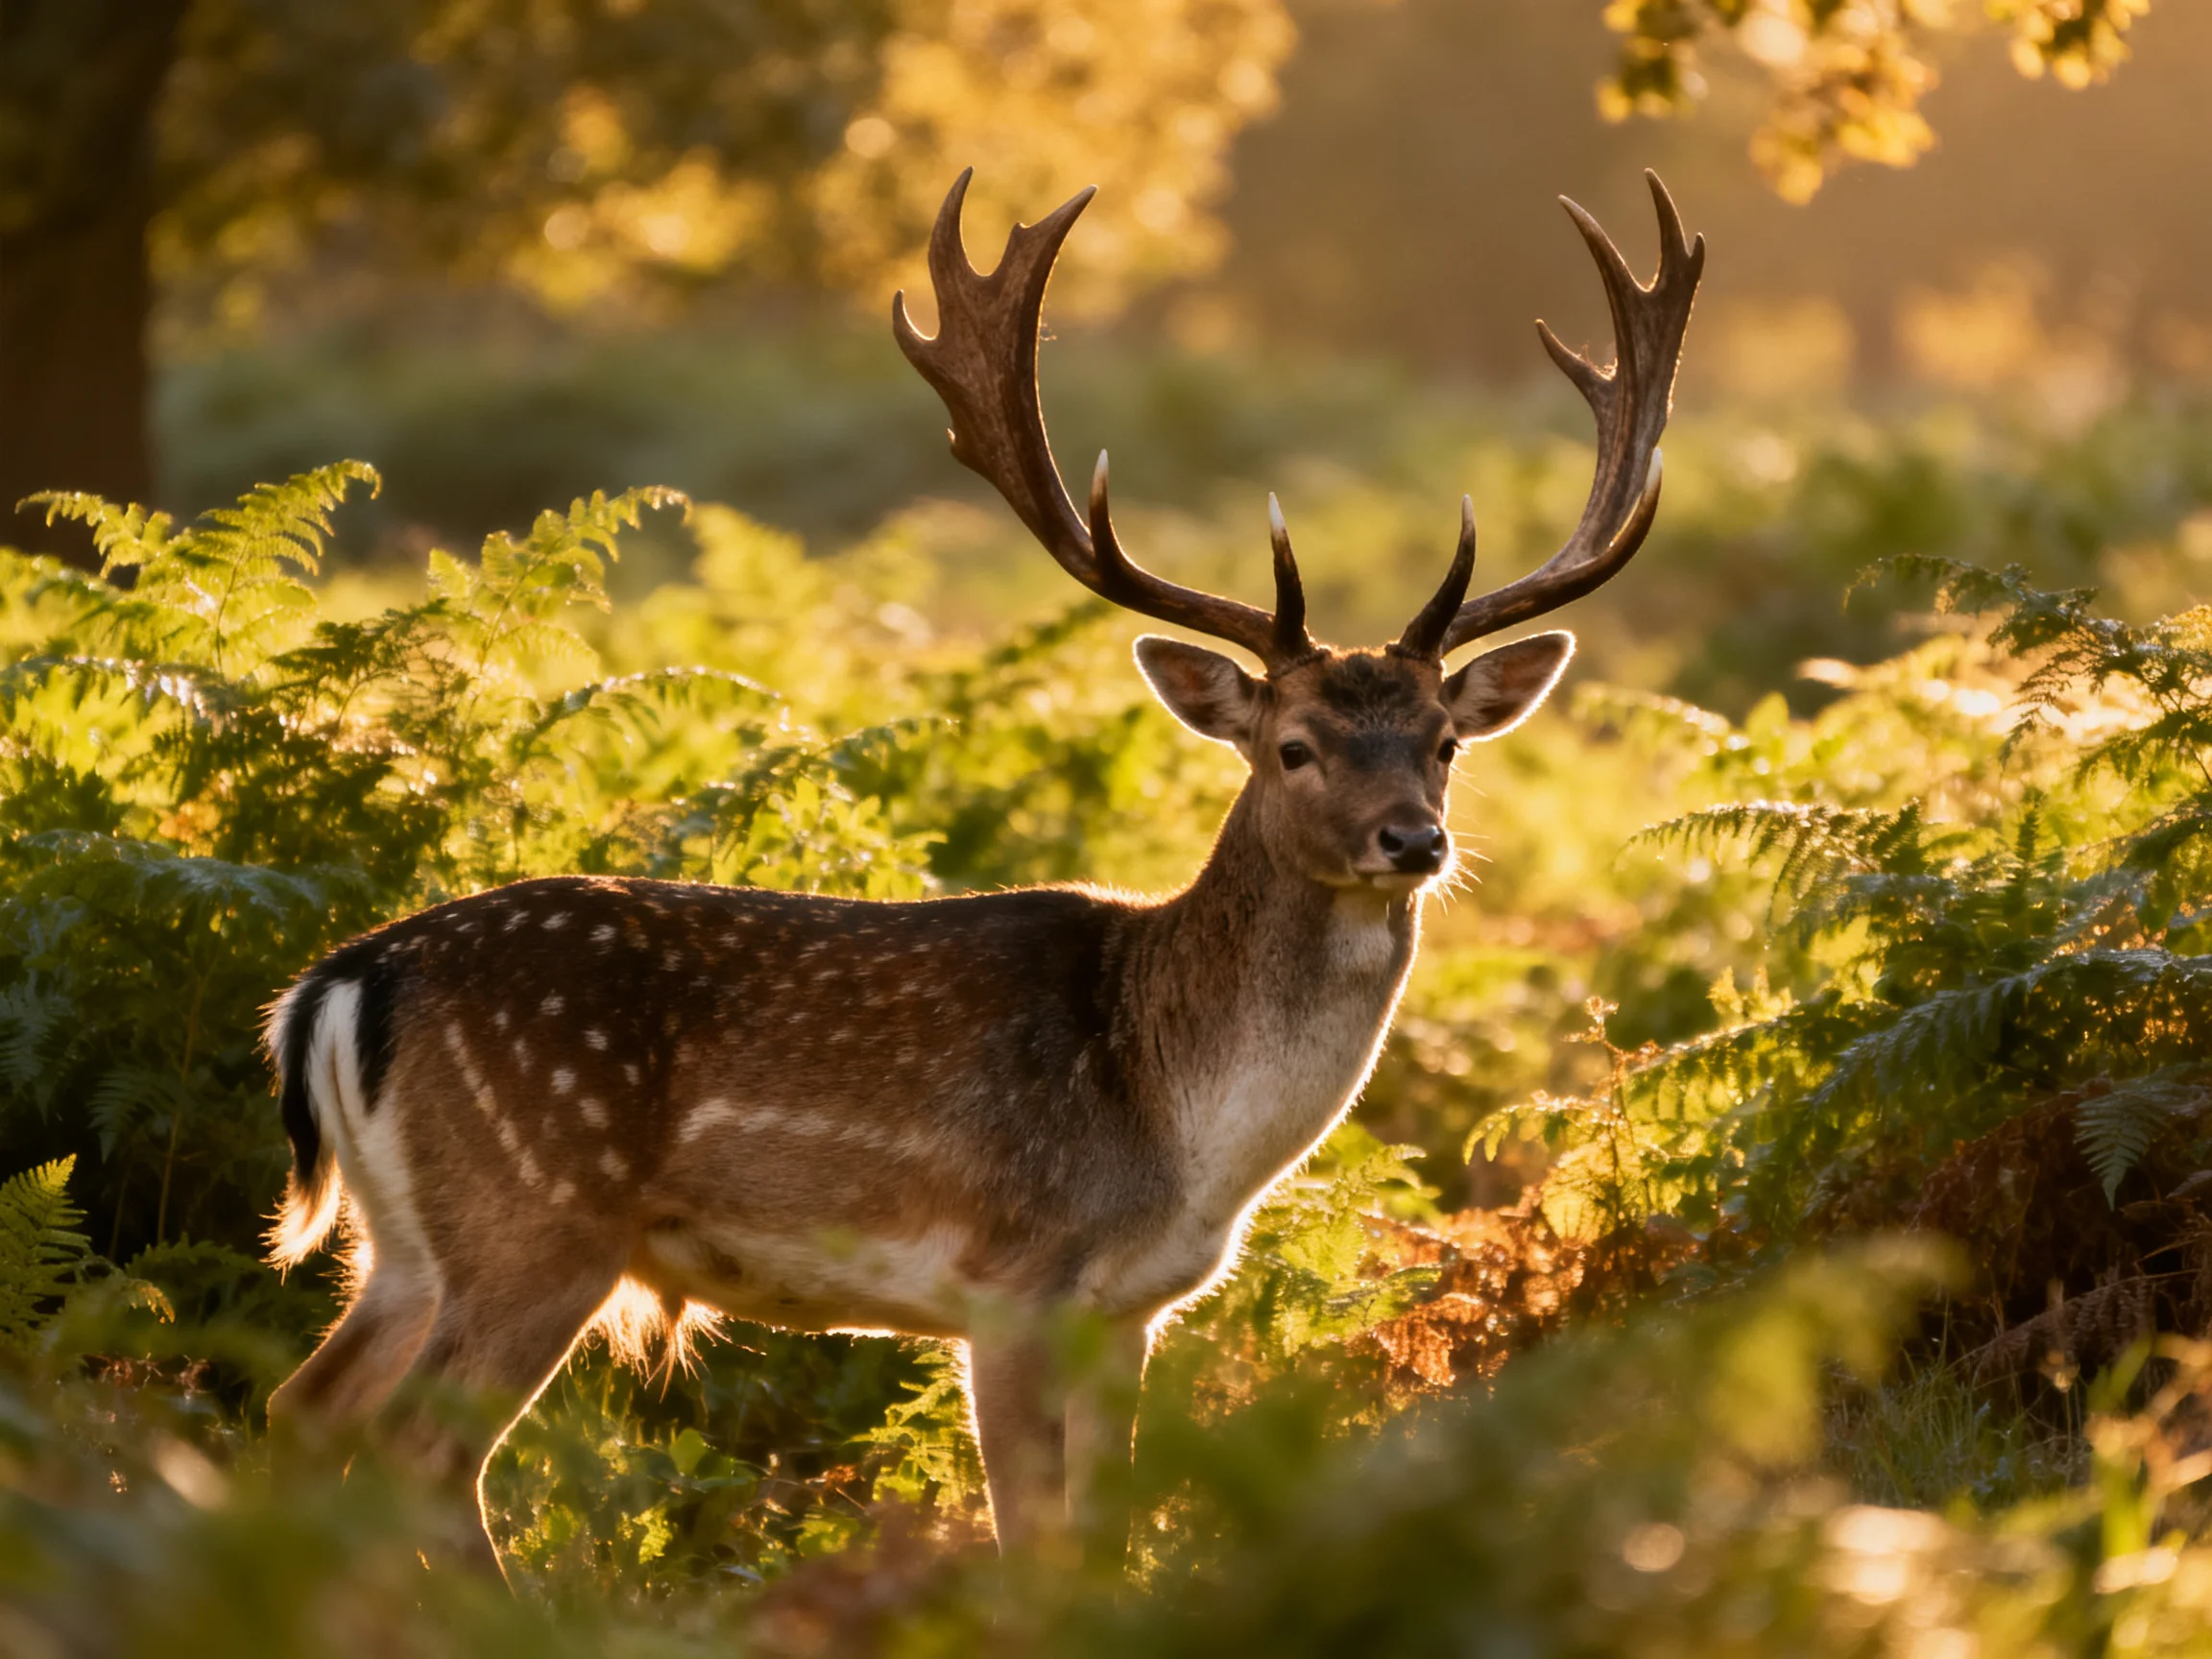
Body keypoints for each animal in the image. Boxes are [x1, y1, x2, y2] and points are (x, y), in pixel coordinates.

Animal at [261, 168, 1702, 1574]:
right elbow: (1032, 1541)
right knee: (418, 1450)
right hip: (538, 1214)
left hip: (407, 1243)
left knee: (303, 1407)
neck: (1180, 1127)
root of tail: (339, 984)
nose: (1415, 840)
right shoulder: (1012, 1281)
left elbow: (1107, 1538)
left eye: (1445, 741)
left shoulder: (1132, 1310)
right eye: (1294, 745)